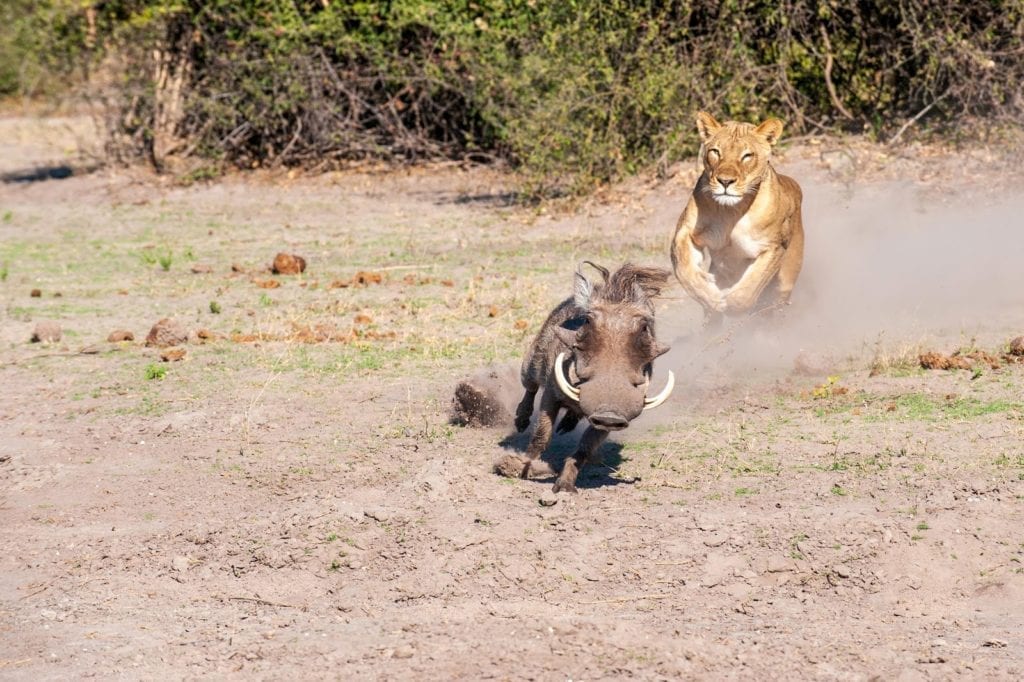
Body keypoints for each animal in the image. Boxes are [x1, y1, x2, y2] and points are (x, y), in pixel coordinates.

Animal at [513, 262, 675, 493]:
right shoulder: (551, 394)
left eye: (645, 327)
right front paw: (521, 466)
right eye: (588, 320)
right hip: (530, 363)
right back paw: (521, 422)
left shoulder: (608, 423)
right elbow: (541, 435)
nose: (610, 413)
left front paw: (564, 487)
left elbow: (584, 449)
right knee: (530, 387)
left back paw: (567, 423)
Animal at [670, 111, 804, 325]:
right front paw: (712, 298)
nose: (725, 181)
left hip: (786, 278)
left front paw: (732, 305)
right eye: (716, 152)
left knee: (774, 305)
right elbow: (684, 269)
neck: (731, 212)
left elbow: (750, 288)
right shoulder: (686, 232)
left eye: (747, 156)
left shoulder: (774, 247)